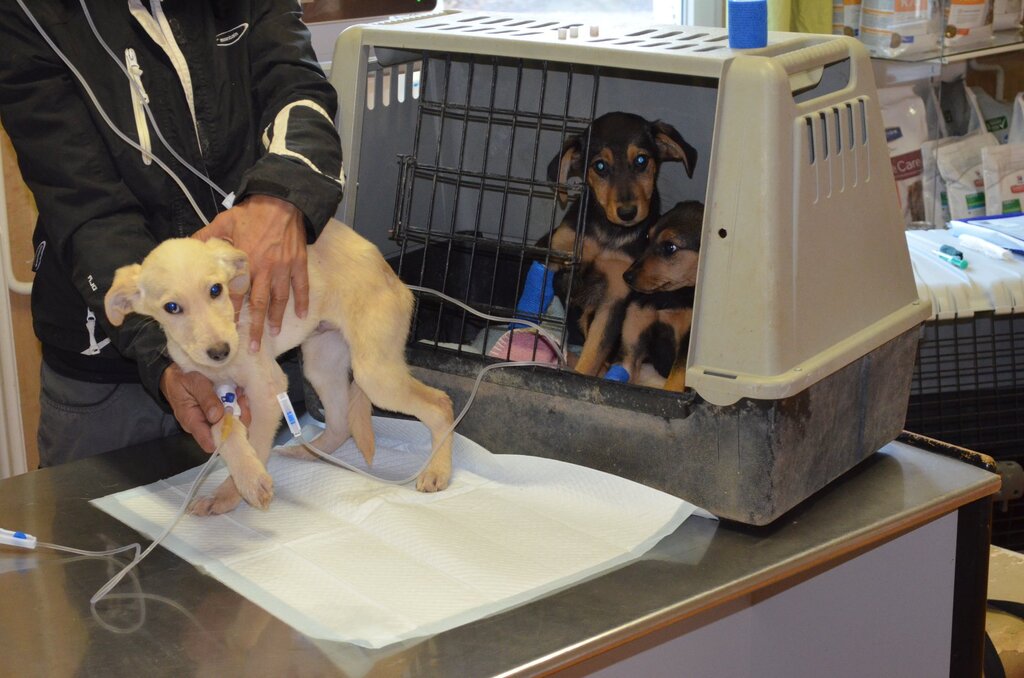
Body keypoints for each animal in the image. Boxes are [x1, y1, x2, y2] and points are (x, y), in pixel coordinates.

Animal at [104, 219, 455, 515]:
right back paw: (308, 452)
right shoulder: (212, 391)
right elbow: (223, 432)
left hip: (374, 372)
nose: (220, 351)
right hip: (321, 362)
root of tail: (392, 275)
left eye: (216, 289)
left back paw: (437, 471)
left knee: (440, 404)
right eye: (172, 307)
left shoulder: (267, 389)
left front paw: (236, 492)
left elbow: (258, 445)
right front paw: (237, 480)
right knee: (341, 422)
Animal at [545, 111, 697, 376]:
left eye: (641, 161)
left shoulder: (615, 293)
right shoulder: (558, 253)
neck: (609, 234)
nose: (627, 213)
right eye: (600, 166)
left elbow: (595, 350)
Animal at [620, 201, 704, 392]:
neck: (668, 297)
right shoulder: (633, 341)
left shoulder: (685, 350)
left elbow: (674, 382)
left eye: (670, 247)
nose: (626, 277)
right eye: (647, 237)